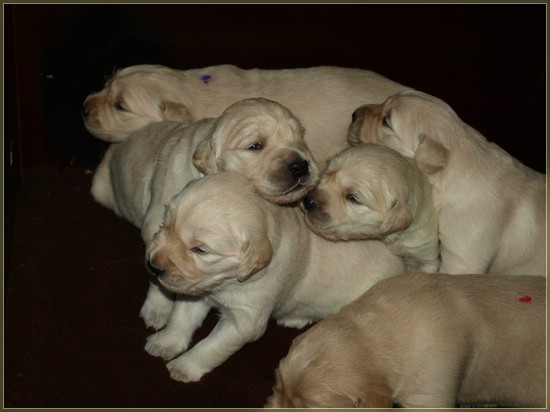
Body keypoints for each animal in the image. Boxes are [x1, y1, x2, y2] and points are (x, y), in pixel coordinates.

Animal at [91, 97, 320, 330]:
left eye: (300, 138)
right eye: (255, 146)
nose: (301, 166)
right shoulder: (155, 227)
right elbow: (157, 275)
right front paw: (157, 310)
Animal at [143, 171, 405, 383]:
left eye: (200, 250)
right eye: (165, 224)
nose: (153, 266)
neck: (227, 282)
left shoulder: (245, 320)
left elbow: (212, 345)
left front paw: (185, 366)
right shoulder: (199, 289)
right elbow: (180, 318)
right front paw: (165, 343)